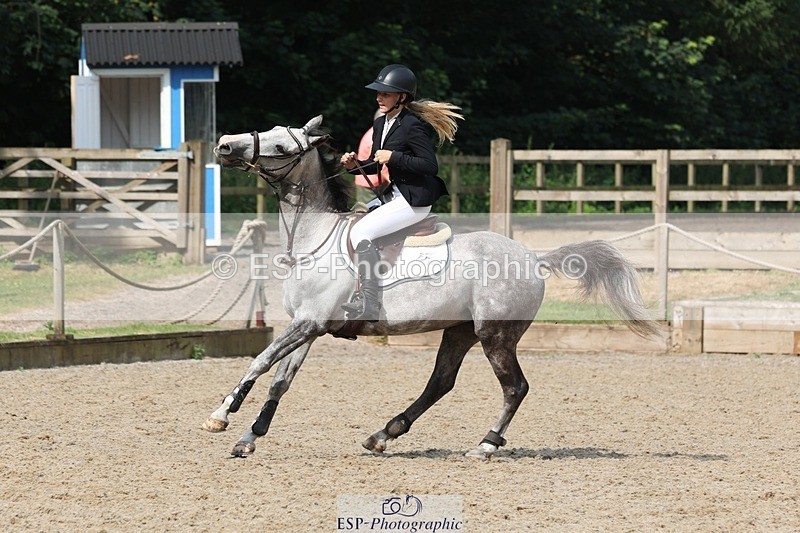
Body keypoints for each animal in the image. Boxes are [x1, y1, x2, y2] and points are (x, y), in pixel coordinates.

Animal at [204, 115, 659, 458]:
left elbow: (260, 361)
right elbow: (280, 379)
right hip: (459, 330)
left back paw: (486, 445)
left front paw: (221, 416)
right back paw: (383, 434)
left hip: (495, 335)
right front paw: (249, 438)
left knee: (515, 387)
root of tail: (534, 258)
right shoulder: (310, 326)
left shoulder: (309, 323)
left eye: (282, 148)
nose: (224, 145)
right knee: (441, 382)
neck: (314, 240)